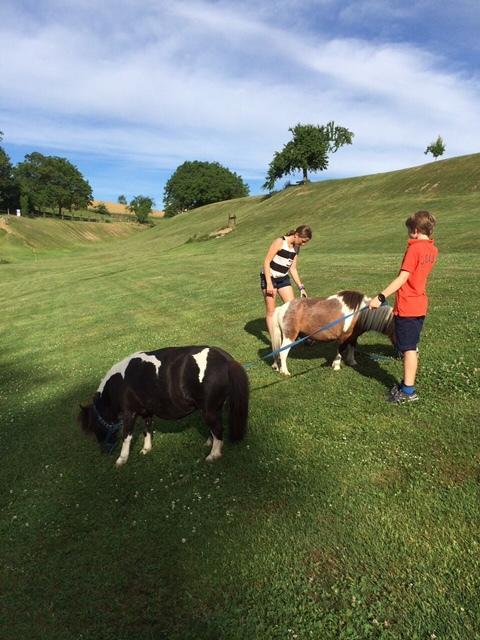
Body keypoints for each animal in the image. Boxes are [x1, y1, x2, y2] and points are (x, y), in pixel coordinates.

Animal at [79, 344, 249, 464]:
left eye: (93, 427)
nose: (104, 451)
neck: (120, 382)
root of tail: (225, 359)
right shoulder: (146, 412)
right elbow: (147, 430)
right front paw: (146, 449)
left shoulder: (129, 414)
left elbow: (126, 436)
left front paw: (121, 459)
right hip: (212, 409)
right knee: (214, 429)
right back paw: (210, 443)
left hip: (209, 410)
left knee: (218, 429)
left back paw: (213, 455)